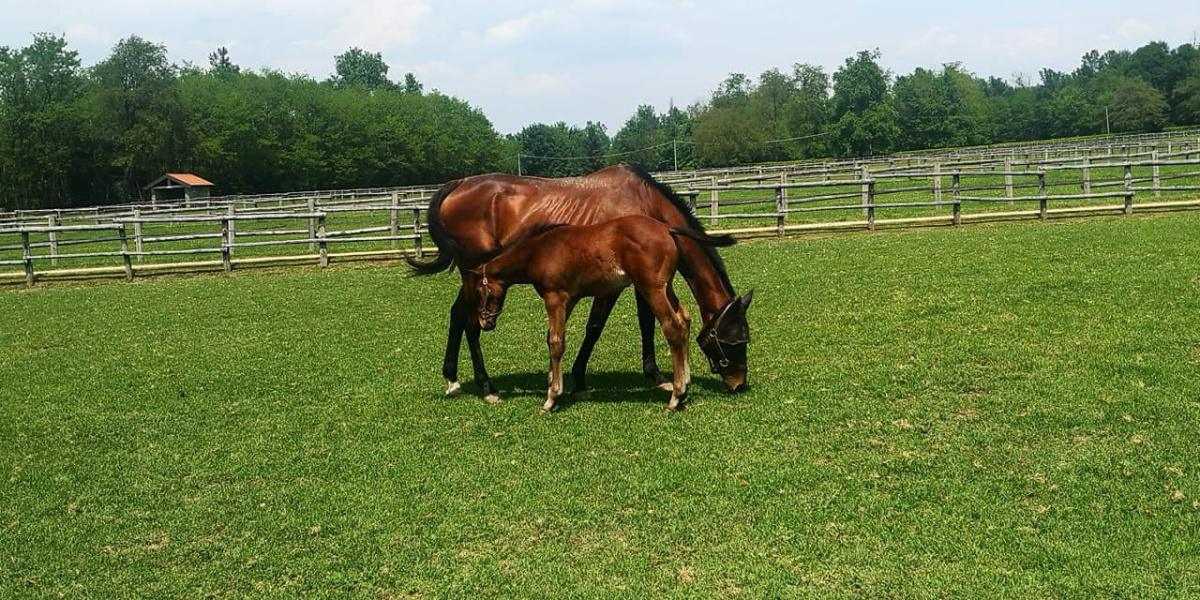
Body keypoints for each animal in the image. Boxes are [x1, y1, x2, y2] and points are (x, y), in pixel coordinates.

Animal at [472, 216, 734, 412]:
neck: (540, 249)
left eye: (479, 291)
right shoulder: (568, 300)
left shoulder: (554, 298)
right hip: (665, 287)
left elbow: (556, 342)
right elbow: (551, 338)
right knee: (685, 319)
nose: (485, 322)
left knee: (673, 327)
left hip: (651, 289)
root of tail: (666, 228)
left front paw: (552, 398)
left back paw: (676, 396)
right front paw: (551, 381)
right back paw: (685, 384)